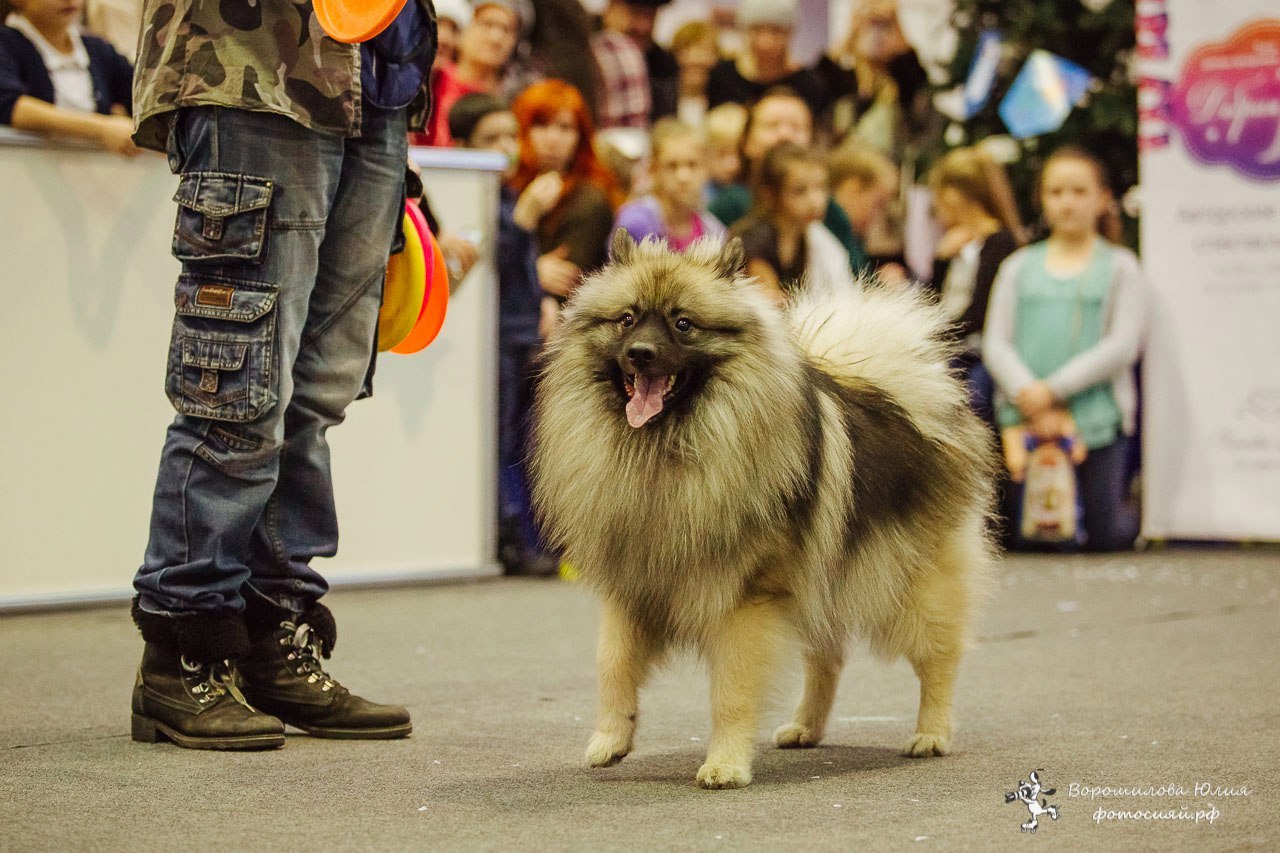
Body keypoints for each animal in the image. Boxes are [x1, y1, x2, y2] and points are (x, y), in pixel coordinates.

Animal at [524, 230, 993, 783]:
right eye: (627, 319)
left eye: (683, 324)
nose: (640, 354)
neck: (664, 452)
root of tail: (915, 402)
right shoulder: (631, 586)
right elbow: (613, 667)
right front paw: (610, 741)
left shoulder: (743, 602)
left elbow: (730, 692)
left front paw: (724, 764)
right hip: (822, 576)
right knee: (828, 658)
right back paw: (806, 728)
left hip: (909, 584)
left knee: (938, 658)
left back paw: (931, 734)